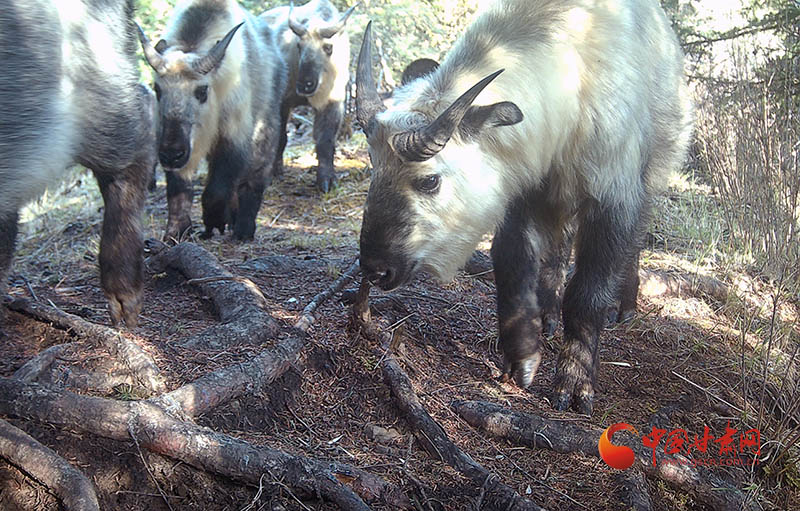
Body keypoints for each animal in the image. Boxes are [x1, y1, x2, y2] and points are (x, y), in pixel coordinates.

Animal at [138, 0, 287, 241]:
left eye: (201, 91)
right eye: (157, 89)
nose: (171, 155)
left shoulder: (233, 136)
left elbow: (217, 189)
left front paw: (214, 222)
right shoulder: (183, 147)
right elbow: (179, 189)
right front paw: (177, 231)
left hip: (265, 127)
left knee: (253, 179)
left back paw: (243, 229)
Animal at [261, 0, 356, 193]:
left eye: (328, 47)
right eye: (299, 46)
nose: (304, 85)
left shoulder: (332, 103)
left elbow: (325, 141)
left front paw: (327, 179)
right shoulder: (283, 102)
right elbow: (281, 137)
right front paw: (274, 172)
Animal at [355, 0, 694, 414]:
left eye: (429, 180)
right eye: (374, 167)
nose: (375, 268)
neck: (574, 75)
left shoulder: (612, 195)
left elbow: (587, 293)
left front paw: (574, 382)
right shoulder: (520, 193)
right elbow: (512, 263)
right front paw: (522, 356)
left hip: (651, 174)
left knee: (634, 240)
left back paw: (623, 305)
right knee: (557, 251)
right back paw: (547, 314)